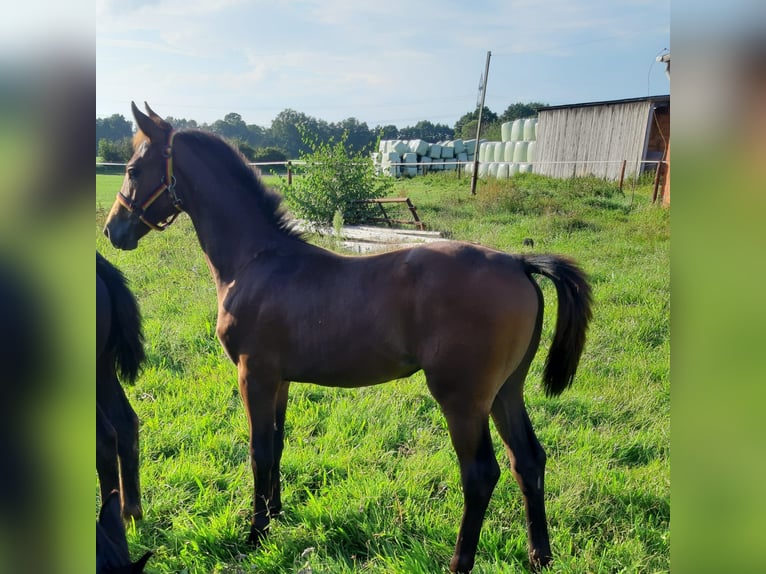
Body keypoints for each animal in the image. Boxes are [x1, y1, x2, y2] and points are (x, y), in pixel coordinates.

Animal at [102, 101, 592, 572]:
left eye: (133, 169)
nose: (113, 230)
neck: (257, 262)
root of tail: (518, 263)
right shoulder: (279, 379)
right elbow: (277, 444)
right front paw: (275, 514)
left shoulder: (253, 374)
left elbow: (259, 450)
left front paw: (256, 533)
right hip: (506, 390)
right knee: (528, 460)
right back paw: (540, 556)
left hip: (463, 399)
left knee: (480, 473)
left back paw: (460, 562)